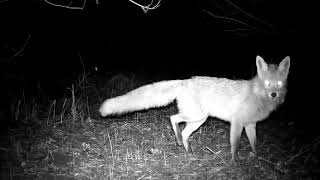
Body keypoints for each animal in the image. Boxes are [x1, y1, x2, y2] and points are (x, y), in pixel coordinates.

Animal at [99, 55, 290, 161]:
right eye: (267, 84)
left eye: (279, 84)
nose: (274, 95)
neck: (256, 94)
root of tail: (184, 81)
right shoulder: (237, 123)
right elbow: (235, 145)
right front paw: (234, 163)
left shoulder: (250, 124)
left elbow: (254, 143)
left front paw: (256, 158)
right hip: (197, 116)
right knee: (173, 118)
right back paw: (178, 141)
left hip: (198, 119)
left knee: (184, 132)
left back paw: (188, 151)